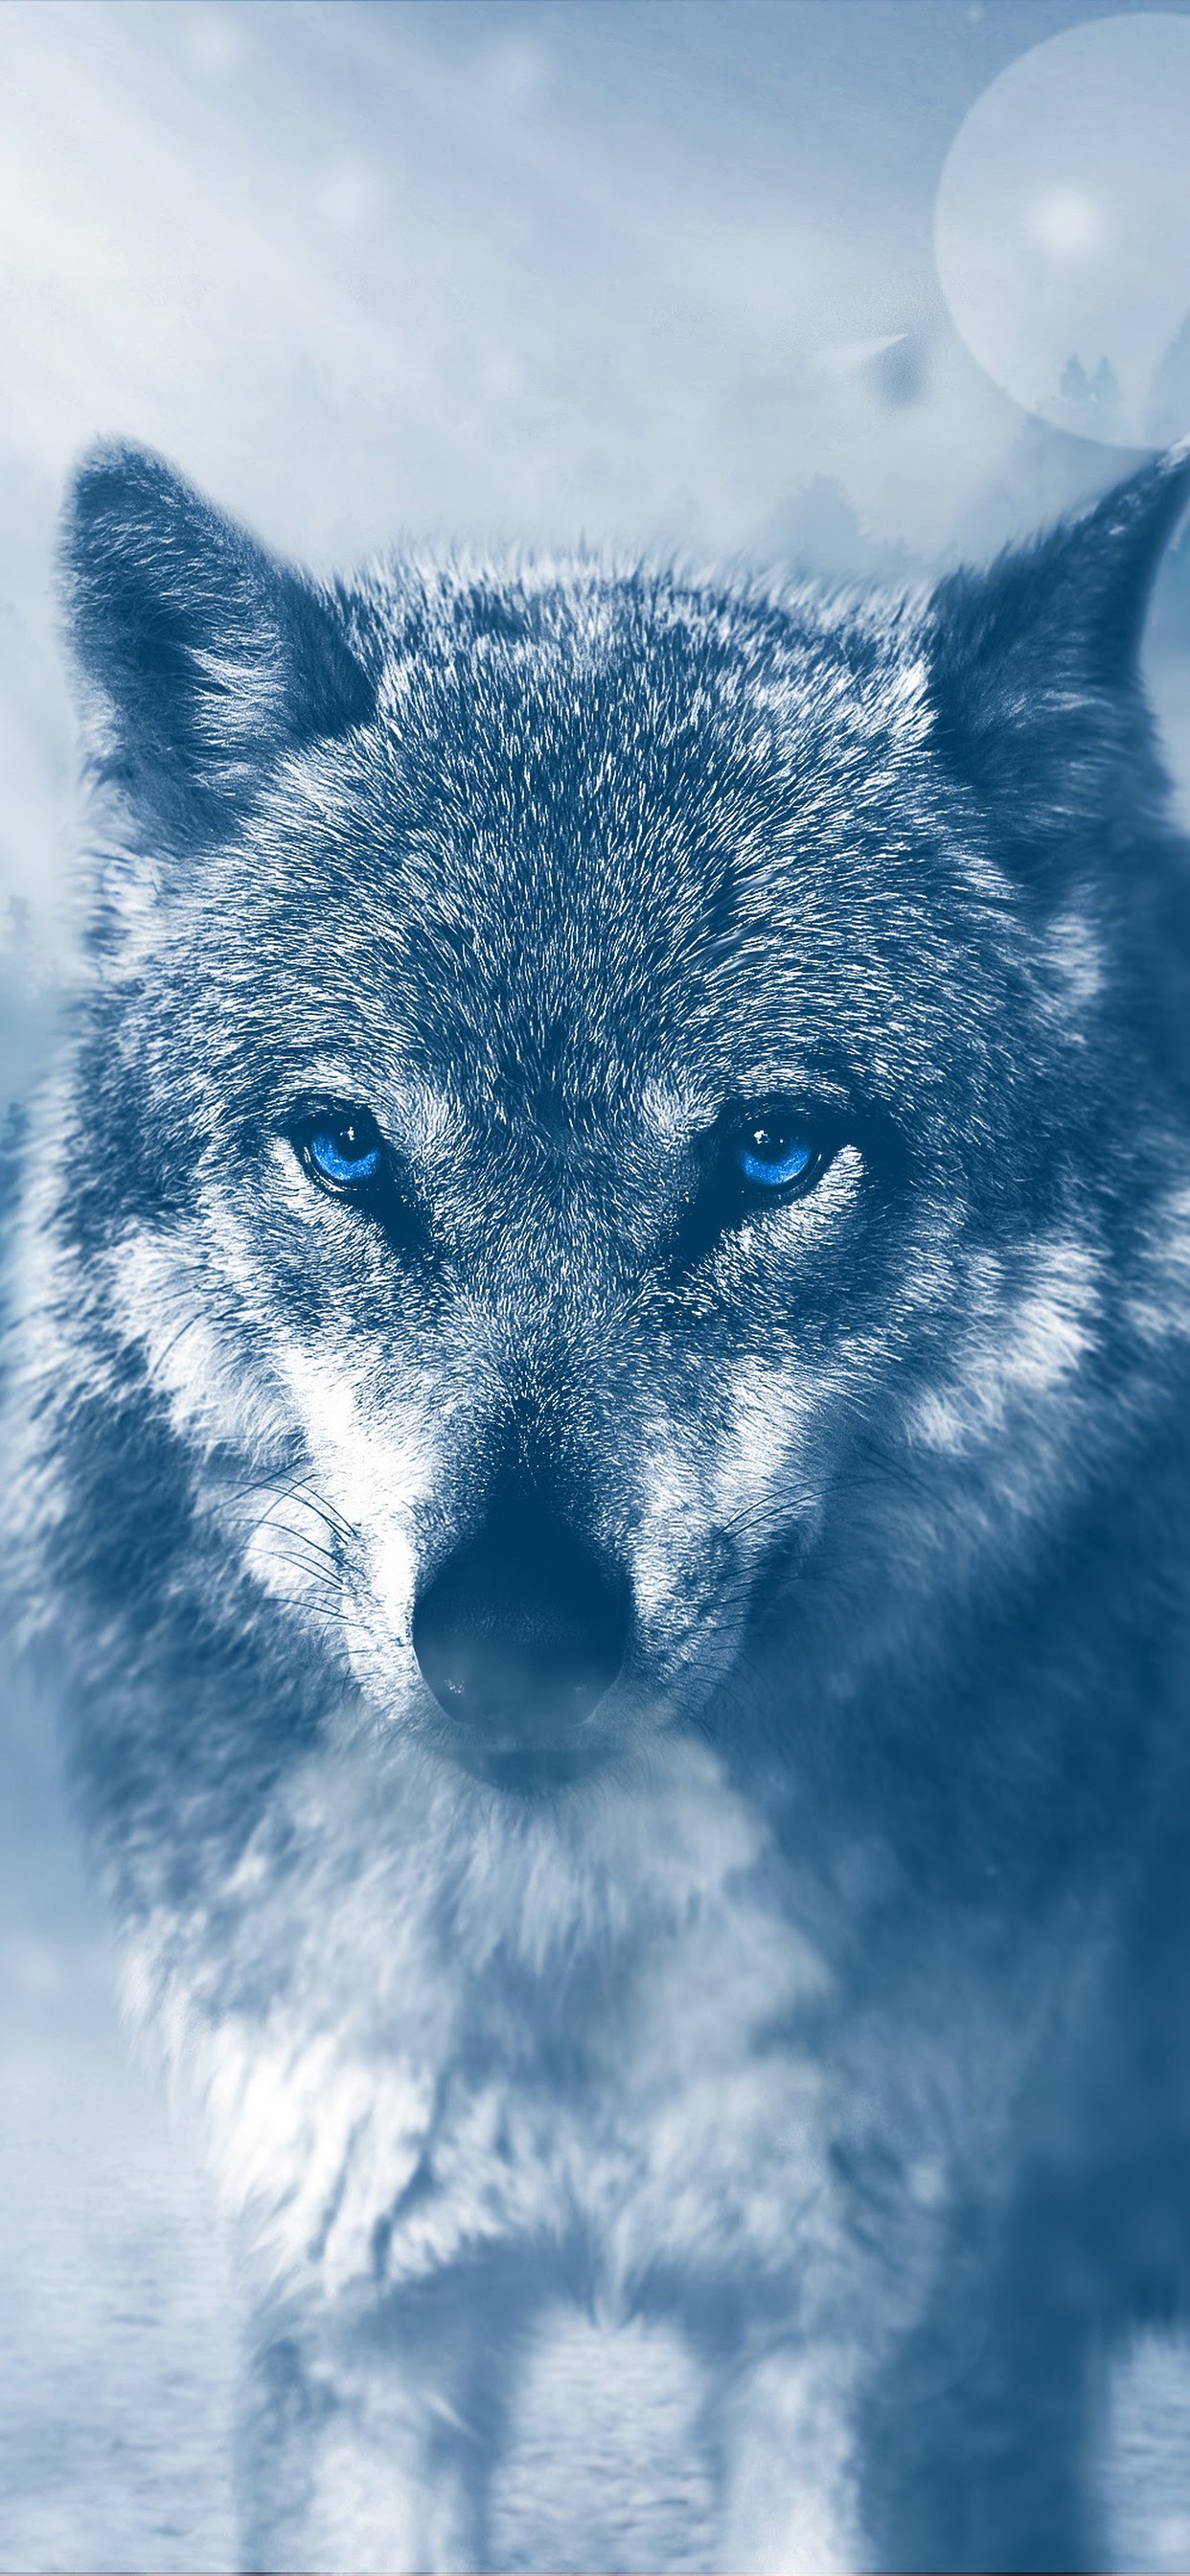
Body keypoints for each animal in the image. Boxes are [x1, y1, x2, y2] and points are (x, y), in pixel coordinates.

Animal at [6, 436, 1190, 2573]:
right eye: (346, 1149)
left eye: (775, 1151)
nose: (516, 1637)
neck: (565, 1951)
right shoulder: (362, 2315)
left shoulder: (890, 2350)